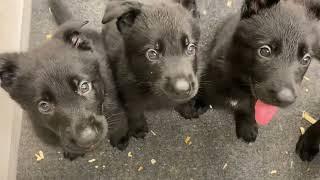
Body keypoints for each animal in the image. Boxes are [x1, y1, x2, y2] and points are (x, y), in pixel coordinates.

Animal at [176, 0, 320, 143]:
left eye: (306, 59)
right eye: (265, 51)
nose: (286, 100)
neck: (240, 84)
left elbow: (249, 108)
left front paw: (247, 124)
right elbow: (205, 89)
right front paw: (194, 103)